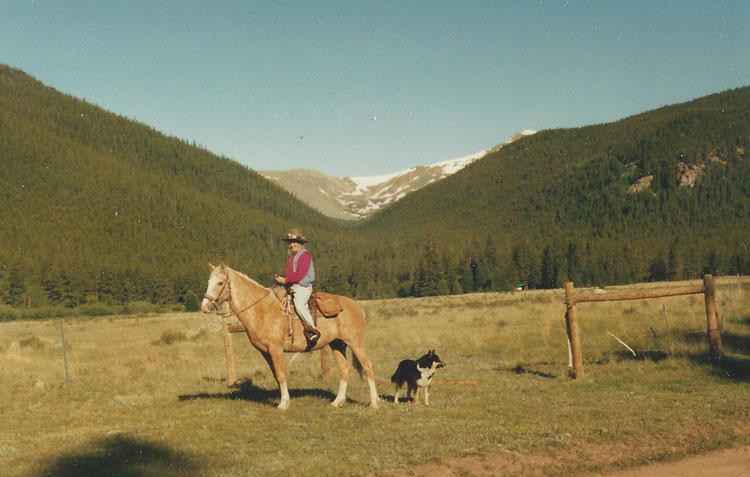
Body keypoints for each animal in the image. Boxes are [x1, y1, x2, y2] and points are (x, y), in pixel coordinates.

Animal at [201, 262, 378, 408]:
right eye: (208, 282)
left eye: (220, 283)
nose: (205, 306)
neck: (262, 310)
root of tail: (357, 306)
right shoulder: (265, 352)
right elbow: (276, 375)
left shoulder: (276, 349)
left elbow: (281, 374)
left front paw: (284, 403)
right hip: (337, 344)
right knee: (344, 369)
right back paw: (337, 402)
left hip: (355, 343)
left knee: (368, 367)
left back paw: (374, 403)